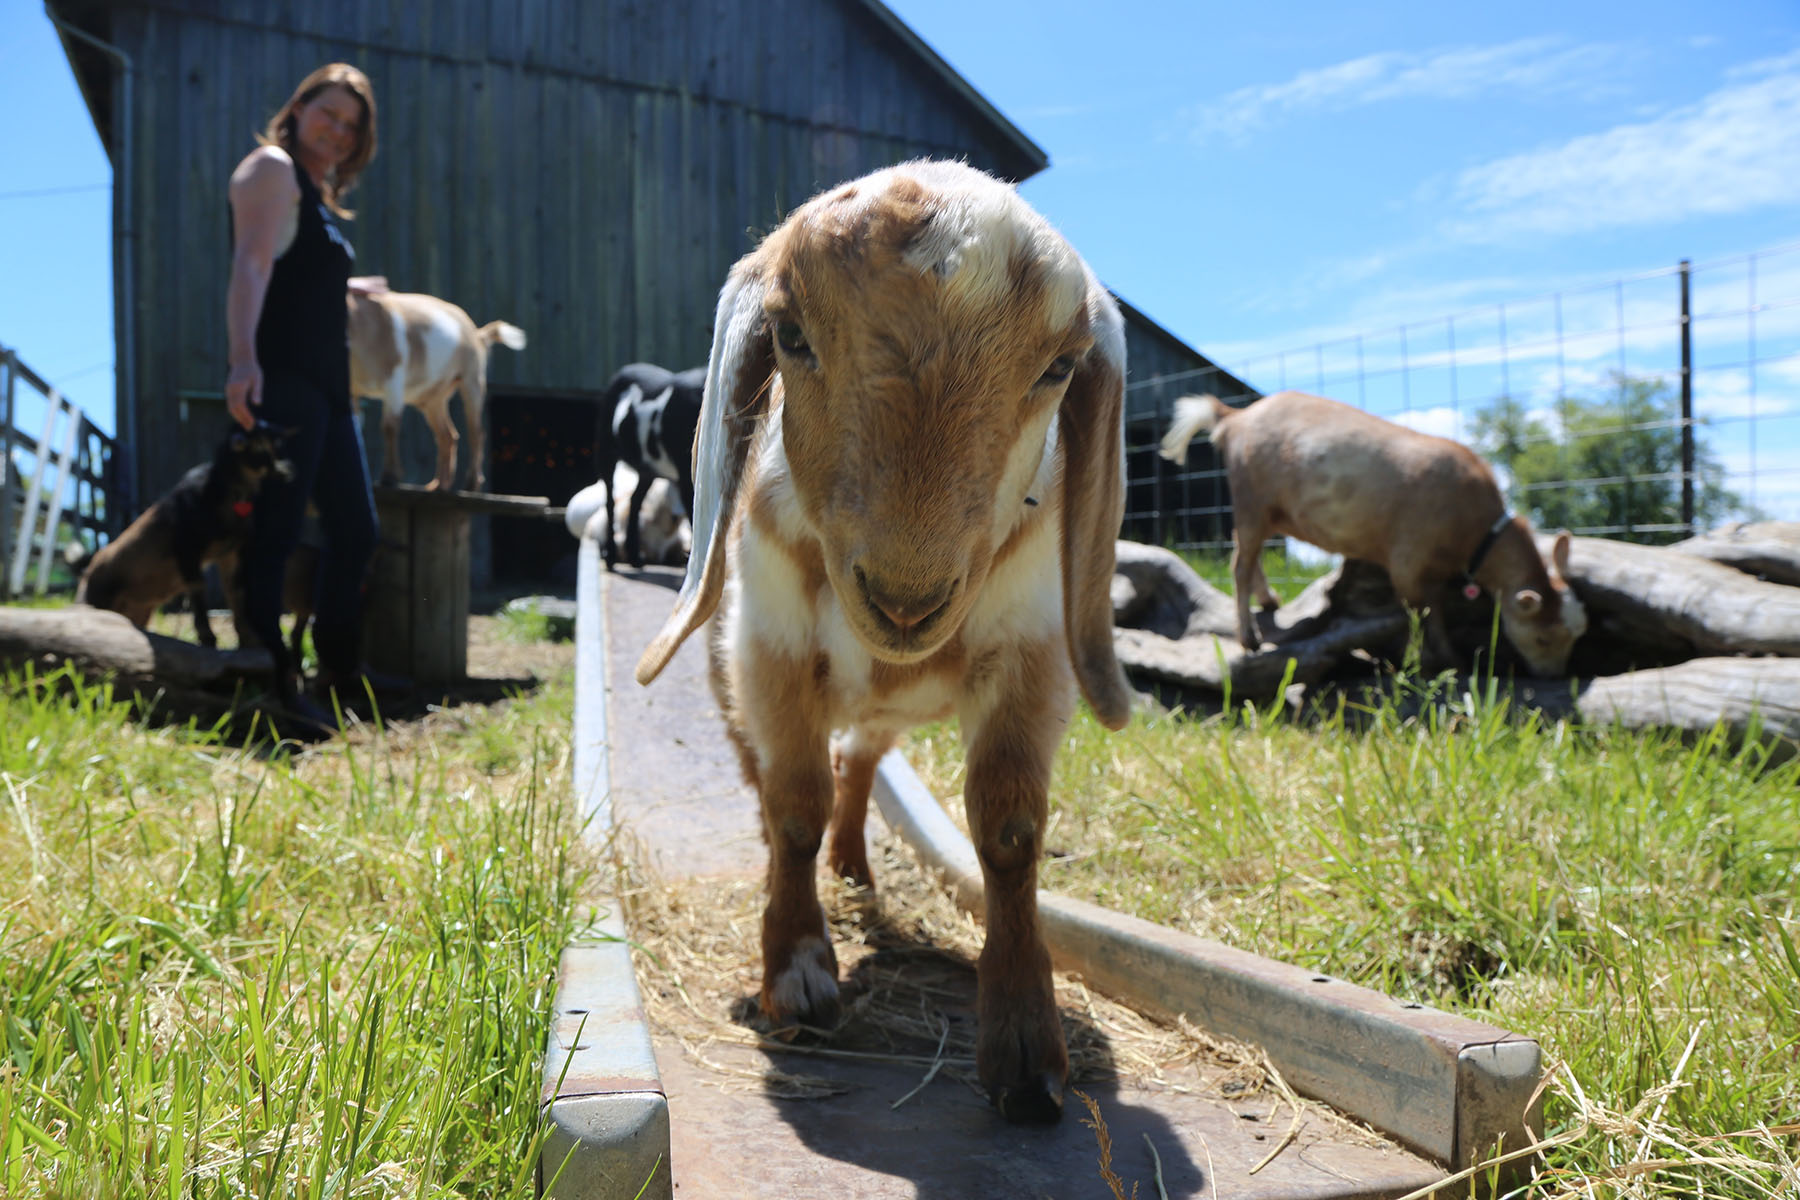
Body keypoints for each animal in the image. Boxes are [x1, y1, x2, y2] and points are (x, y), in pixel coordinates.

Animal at [345, 287, 525, 489]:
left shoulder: (394, 379)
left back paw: (471, 483)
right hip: (433, 397)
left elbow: (389, 427)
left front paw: (389, 477)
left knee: (476, 432)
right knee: (447, 435)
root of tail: (477, 333)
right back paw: (438, 485)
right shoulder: (352, 389)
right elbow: (355, 427)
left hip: (472, 380)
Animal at [594, 361, 698, 568]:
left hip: (648, 469)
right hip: (606, 448)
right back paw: (611, 557)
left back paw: (635, 558)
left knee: (636, 499)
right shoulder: (685, 474)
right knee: (610, 499)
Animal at [640, 159, 1130, 1129]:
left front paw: (1026, 1049)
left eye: (1058, 368)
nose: (906, 599)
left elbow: (1009, 831)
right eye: (791, 335)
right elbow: (793, 803)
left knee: (861, 759)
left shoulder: (1033, 655)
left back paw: (857, 866)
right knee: (784, 780)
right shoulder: (768, 648)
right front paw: (797, 973)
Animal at [1152, 392, 1591, 676]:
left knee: (1249, 553)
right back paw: (1250, 638)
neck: (1474, 530)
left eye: (1576, 635)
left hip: (1268, 511)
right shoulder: (1409, 558)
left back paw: (1270, 600)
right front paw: (1436, 660)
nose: (1555, 676)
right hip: (1251, 496)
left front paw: (1446, 659)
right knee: (1240, 563)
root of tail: (1235, 418)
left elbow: (1434, 606)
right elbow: (1423, 610)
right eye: (1544, 638)